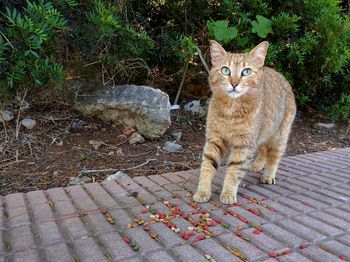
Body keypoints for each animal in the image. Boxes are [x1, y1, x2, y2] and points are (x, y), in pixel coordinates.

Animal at [193, 40, 296, 204]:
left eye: (246, 71)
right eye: (225, 70)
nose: (234, 83)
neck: (230, 110)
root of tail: (280, 74)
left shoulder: (244, 144)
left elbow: (235, 169)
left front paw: (228, 193)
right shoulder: (215, 138)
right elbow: (208, 164)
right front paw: (202, 191)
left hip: (279, 135)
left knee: (274, 156)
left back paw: (268, 175)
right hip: (263, 133)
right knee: (262, 149)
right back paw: (256, 165)